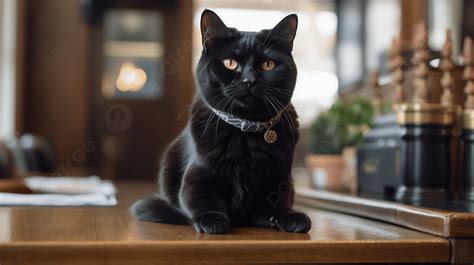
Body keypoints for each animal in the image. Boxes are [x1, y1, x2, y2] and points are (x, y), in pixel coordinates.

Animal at [132, 9, 312, 233]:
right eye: (230, 63)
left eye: (268, 64)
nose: (249, 81)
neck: (245, 131)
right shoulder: (196, 178)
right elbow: (201, 199)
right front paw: (212, 220)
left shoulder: (279, 182)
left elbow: (275, 205)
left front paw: (290, 217)